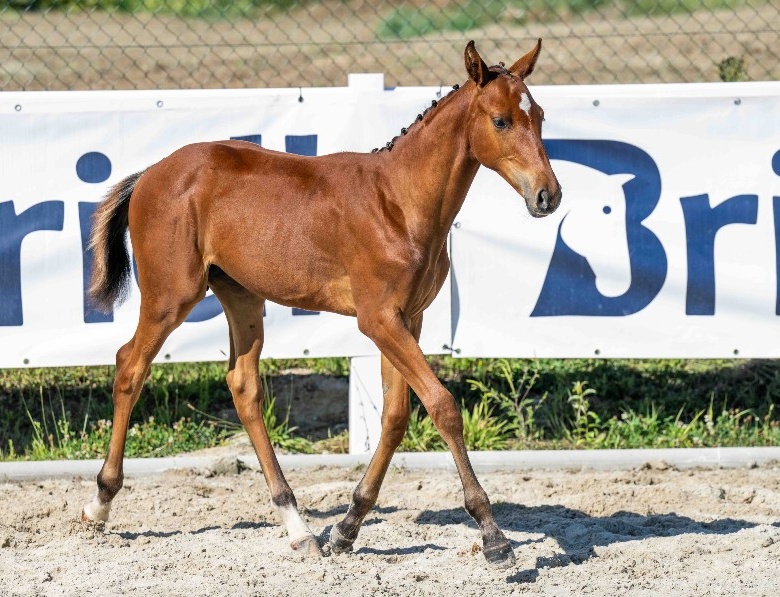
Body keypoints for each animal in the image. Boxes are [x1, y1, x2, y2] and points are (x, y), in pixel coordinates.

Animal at [80, 39, 562, 569]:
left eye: (539, 115)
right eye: (500, 120)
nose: (548, 195)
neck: (400, 202)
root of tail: (151, 173)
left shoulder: (408, 320)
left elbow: (395, 417)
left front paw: (347, 528)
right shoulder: (379, 320)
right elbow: (442, 405)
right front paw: (493, 535)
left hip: (241, 295)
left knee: (243, 385)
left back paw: (298, 526)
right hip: (171, 296)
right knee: (130, 366)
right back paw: (99, 504)